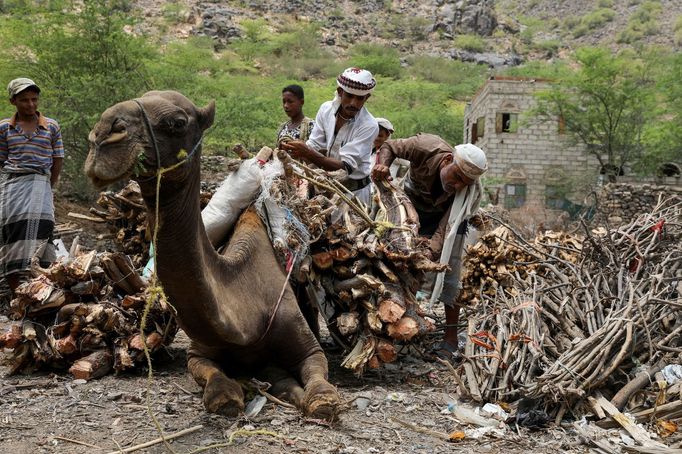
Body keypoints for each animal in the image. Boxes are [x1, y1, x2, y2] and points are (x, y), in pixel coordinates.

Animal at [85, 90, 340, 420]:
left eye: (177, 122)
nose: (103, 137)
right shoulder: (199, 354)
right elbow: (217, 388)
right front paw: (236, 391)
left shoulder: (306, 346)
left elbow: (319, 383)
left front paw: (316, 397)